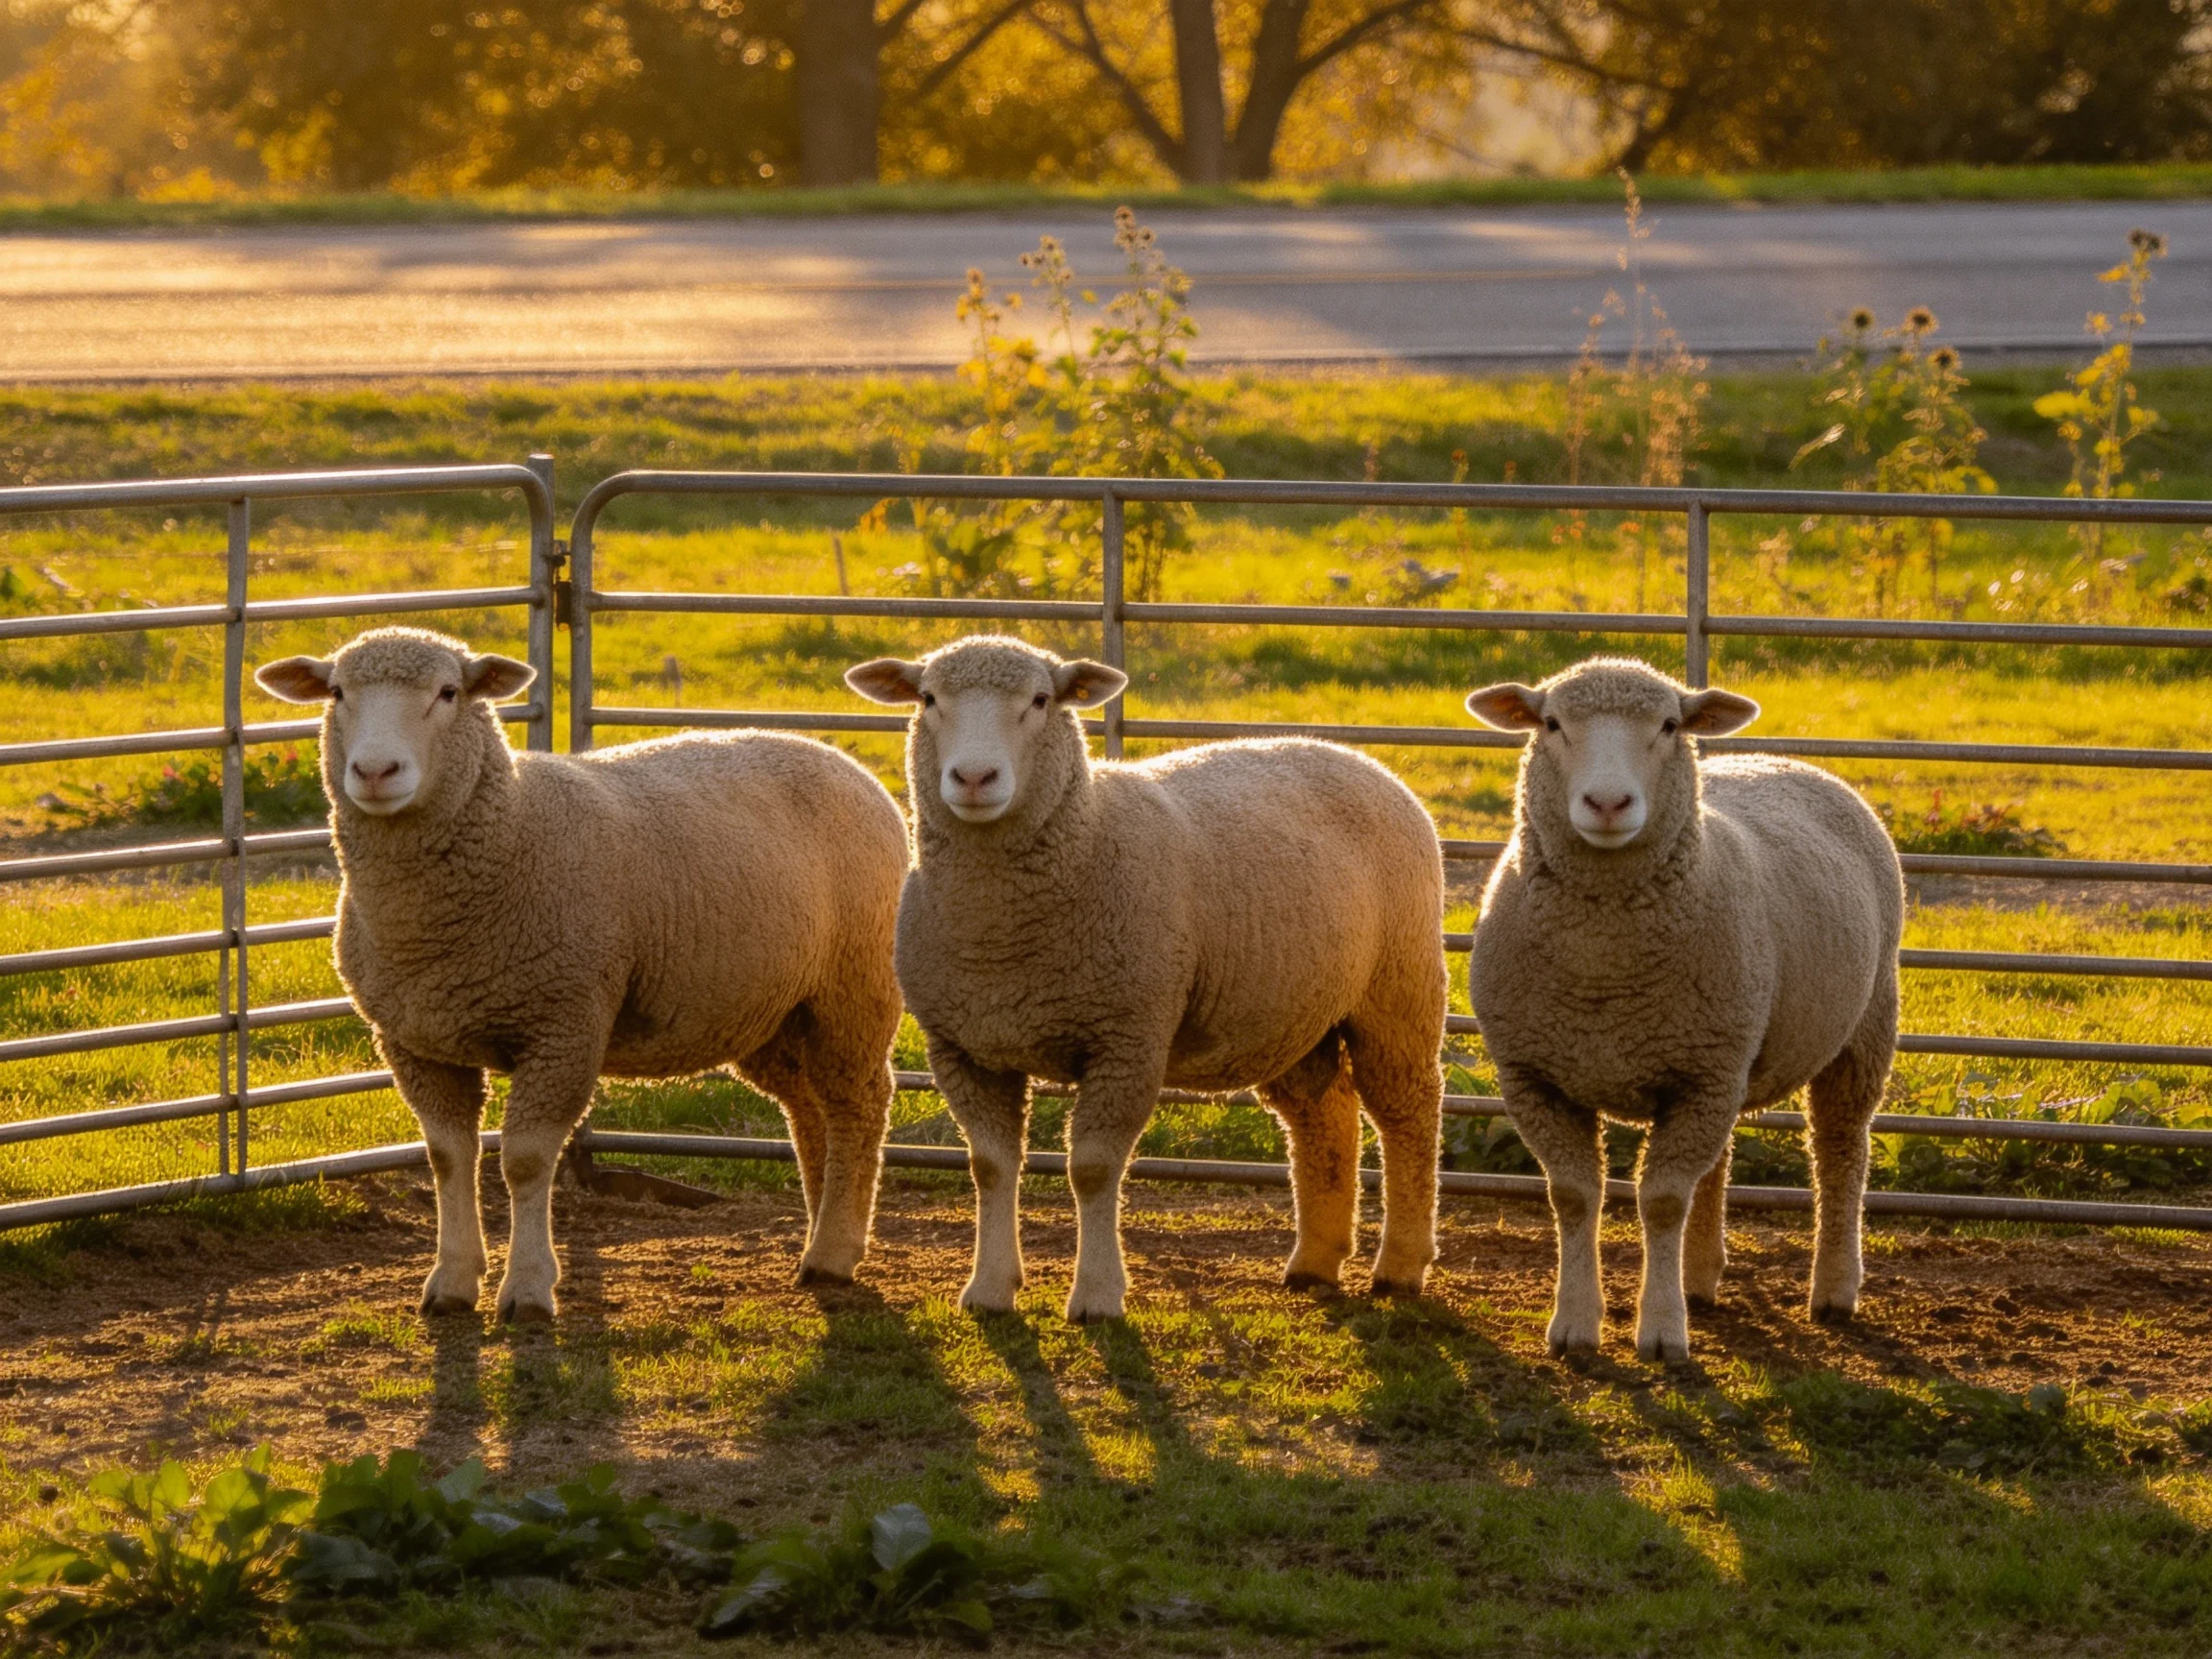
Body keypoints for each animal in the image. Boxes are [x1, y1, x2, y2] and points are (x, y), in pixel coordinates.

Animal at [255, 626, 906, 1322]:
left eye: (449, 692)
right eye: (337, 692)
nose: (376, 772)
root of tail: (842, 761)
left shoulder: (563, 1024)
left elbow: (525, 1161)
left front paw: (528, 1288)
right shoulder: (416, 1042)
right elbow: (448, 1158)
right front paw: (452, 1281)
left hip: (854, 987)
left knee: (858, 1104)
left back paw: (833, 1251)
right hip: (768, 1010)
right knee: (810, 1109)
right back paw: (825, 1223)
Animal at [845, 634, 1446, 1323]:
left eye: (1042, 700)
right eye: (927, 698)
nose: (974, 779)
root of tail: (1350, 753)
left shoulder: (1127, 1038)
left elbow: (1094, 1169)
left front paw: (1098, 1295)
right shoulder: (965, 1048)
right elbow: (991, 1166)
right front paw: (990, 1289)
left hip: (1398, 989)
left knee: (1408, 1113)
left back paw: (1400, 1266)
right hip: (1294, 1013)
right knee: (1324, 1115)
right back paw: (1315, 1263)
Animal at [1464, 655, 1903, 1361]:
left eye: (1669, 725)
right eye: (1552, 723)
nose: (1608, 804)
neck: (1604, 968)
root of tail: (1775, 757)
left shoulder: (1700, 1074)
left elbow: (1664, 1201)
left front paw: (1663, 1330)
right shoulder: (1538, 1077)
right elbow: (1575, 1196)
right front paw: (1575, 1324)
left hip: (1861, 1029)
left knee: (1839, 1151)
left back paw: (1835, 1289)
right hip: (1722, 1057)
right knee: (1718, 1165)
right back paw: (1700, 1279)